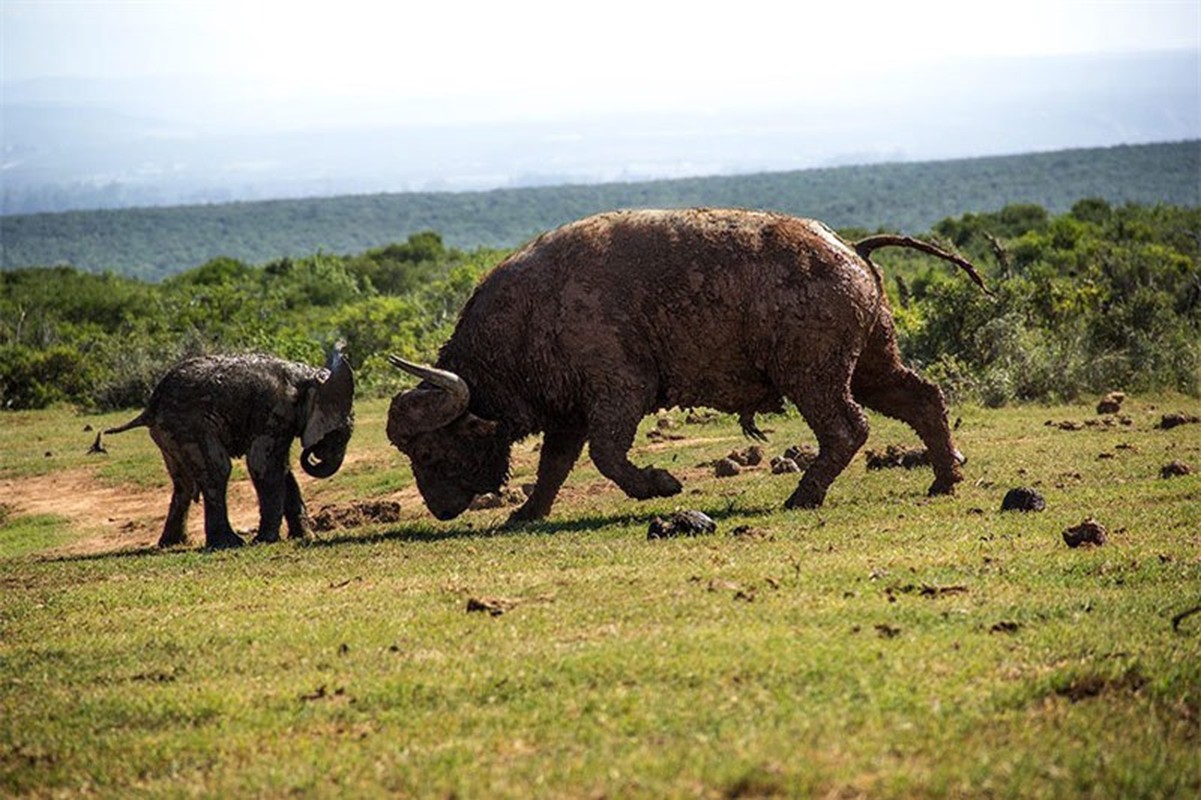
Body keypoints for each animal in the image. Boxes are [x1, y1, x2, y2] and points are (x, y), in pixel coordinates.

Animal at [97, 348, 350, 547]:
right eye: (339, 435)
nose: (313, 453)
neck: (307, 379)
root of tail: (150, 406)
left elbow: (282, 470)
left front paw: (305, 538)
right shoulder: (274, 412)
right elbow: (262, 466)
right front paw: (265, 541)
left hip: (168, 434)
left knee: (183, 483)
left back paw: (174, 544)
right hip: (189, 425)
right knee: (217, 471)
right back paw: (229, 543)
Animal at [386, 205, 984, 521]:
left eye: (430, 448)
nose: (439, 507)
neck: (533, 311)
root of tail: (852, 250)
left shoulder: (618, 395)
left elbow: (608, 457)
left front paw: (661, 484)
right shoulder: (569, 414)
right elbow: (554, 466)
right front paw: (527, 512)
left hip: (814, 377)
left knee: (846, 428)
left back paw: (802, 495)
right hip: (871, 367)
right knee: (923, 399)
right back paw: (945, 479)